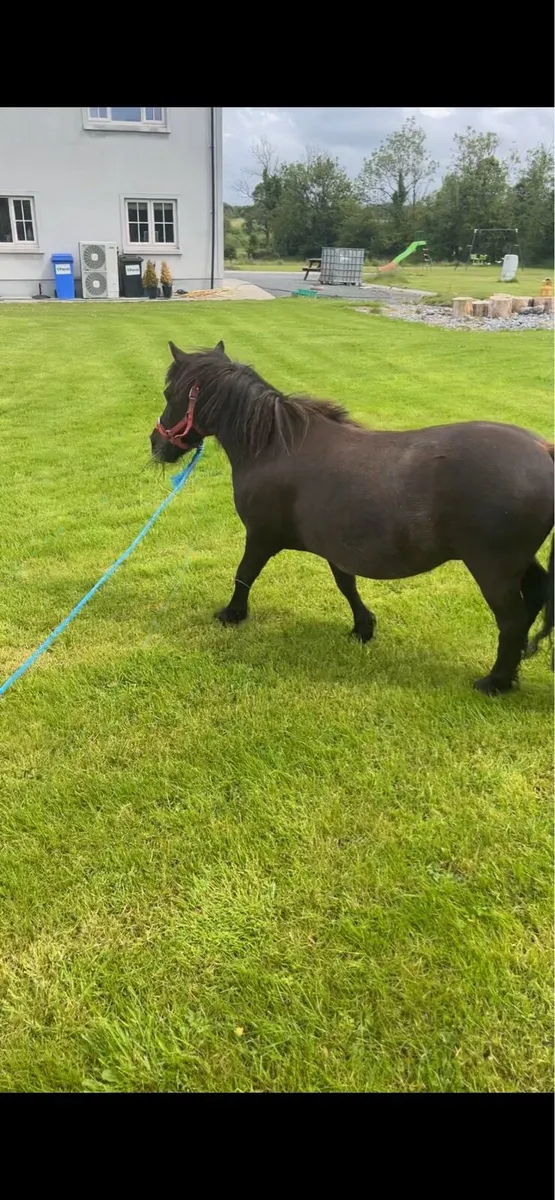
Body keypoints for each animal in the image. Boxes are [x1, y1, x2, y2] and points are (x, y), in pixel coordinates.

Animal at [150, 340, 554, 696]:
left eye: (169, 393)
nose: (157, 444)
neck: (274, 446)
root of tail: (543, 451)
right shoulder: (335, 545)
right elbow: (347, 584)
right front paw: (363, 627)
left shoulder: (261, 537)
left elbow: (244, 574)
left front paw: (232, 614)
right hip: (516, 562)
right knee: (535, 595)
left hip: (492, 567)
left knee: (513, 620)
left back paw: (495, 682)